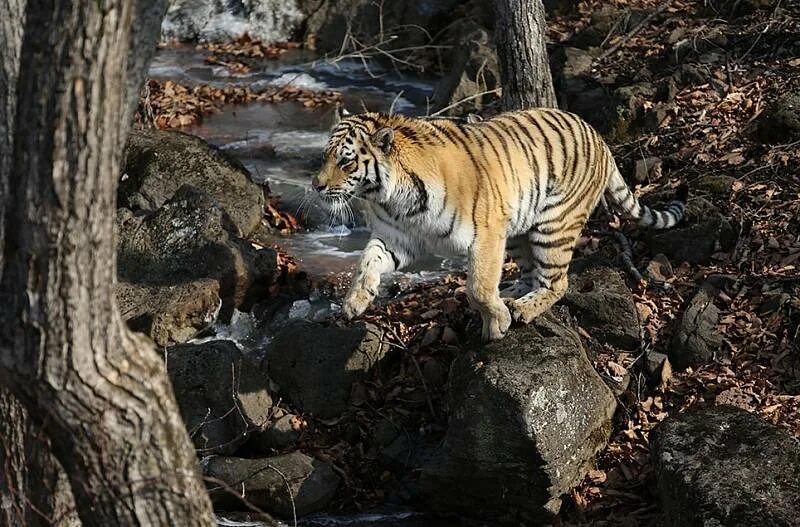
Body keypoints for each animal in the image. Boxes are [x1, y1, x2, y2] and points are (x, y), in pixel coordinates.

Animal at [312, 106, 688, 342]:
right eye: (325, 156)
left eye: (346, 162)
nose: (316, 186)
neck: (393, 198)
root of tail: (600, 137)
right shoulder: (397, 238)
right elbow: (366, 262)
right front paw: (355, 302)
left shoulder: (486, 233)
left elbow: (477, 287)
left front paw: (496, 325)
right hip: (520, 232)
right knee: (529, 274)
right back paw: (511, 294)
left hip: (553, 224)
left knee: (557, 282)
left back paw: (521, 309)